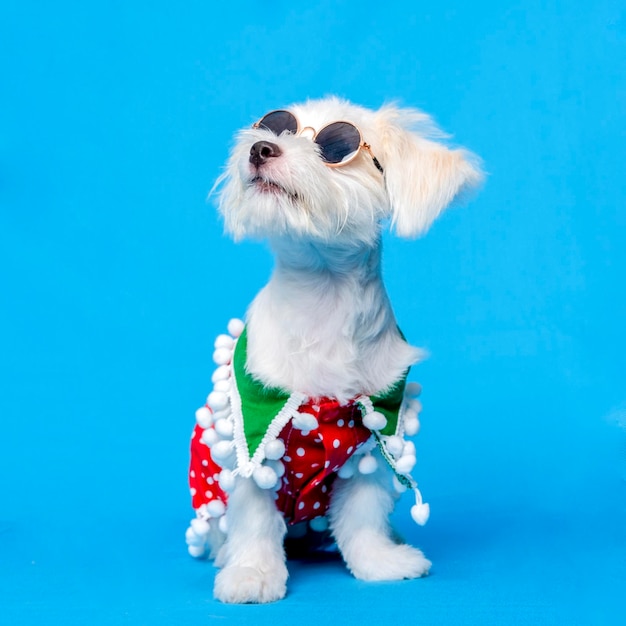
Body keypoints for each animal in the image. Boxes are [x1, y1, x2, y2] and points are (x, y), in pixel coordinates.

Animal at [183, 96, 480, 600]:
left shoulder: (375, 432)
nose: (261, 147)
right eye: (275, 125)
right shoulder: (253, 435)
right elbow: (254, 515)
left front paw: (378, 561)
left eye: (336, 146)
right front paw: (252, 574)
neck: (321, 295)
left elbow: (362, 514)